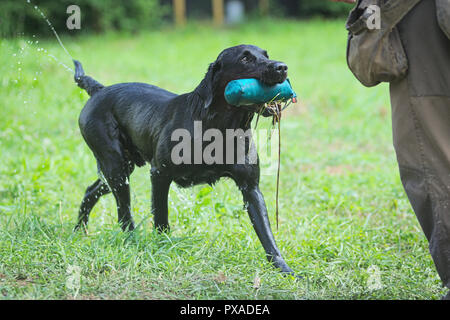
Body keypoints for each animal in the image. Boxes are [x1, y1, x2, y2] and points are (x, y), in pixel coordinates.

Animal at [74, 44, 296, 276]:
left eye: (266, 55)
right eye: (245, 58)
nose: (282, 67)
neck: (219, 126)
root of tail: (99, 90)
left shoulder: (251, 187)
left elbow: (266, 233)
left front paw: (283, 269)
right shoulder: (159, 174)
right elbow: (161, 218)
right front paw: (162, 247)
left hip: (122, 169)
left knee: (91, 191)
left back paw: (79, 231)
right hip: (116, 168)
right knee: (124, 214)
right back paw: (129, 239)